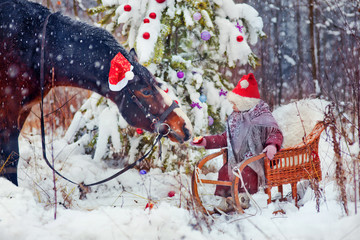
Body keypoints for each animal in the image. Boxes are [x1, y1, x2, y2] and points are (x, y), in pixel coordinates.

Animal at [0, 0, 193, 187]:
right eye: (145, 90)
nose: (186, 127)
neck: (39, 47)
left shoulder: (24, 109)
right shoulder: (9, 108)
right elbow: (11, 156)